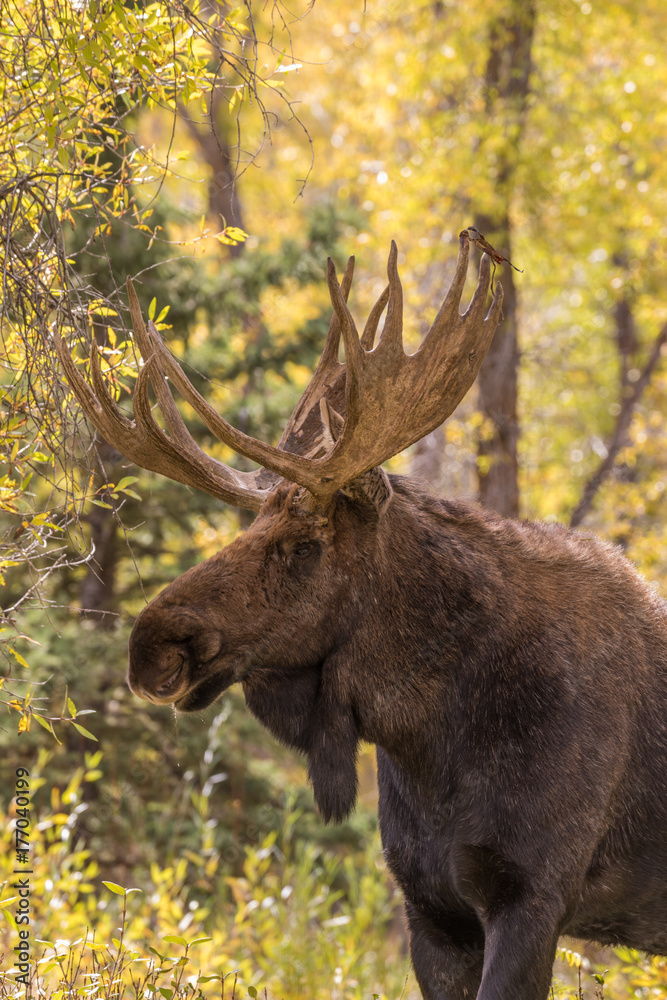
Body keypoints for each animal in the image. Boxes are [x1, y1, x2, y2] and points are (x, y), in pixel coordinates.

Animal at [56, 230, 667, 1000]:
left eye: (304, 544)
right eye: (249, 525)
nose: (151, 647)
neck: (432, 738)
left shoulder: (533, 896)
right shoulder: (431, 911)